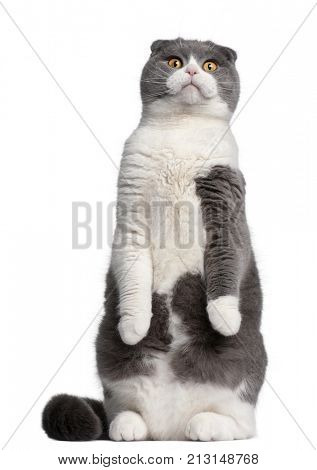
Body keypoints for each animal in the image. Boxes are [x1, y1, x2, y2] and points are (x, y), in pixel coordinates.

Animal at [42, 36, 266, 440]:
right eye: (174, 61)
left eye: (210, 65)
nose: (191, 70)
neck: (181, 133)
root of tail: (170, 431)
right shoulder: (130, 218)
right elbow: (133, 278)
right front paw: (135, 324)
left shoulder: (226, 206)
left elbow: (227, 261)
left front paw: (223, 316)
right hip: (108, 350)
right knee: (123, 405)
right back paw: (128, 425)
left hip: (248, 355)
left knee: (243, 422)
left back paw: (206, 424)